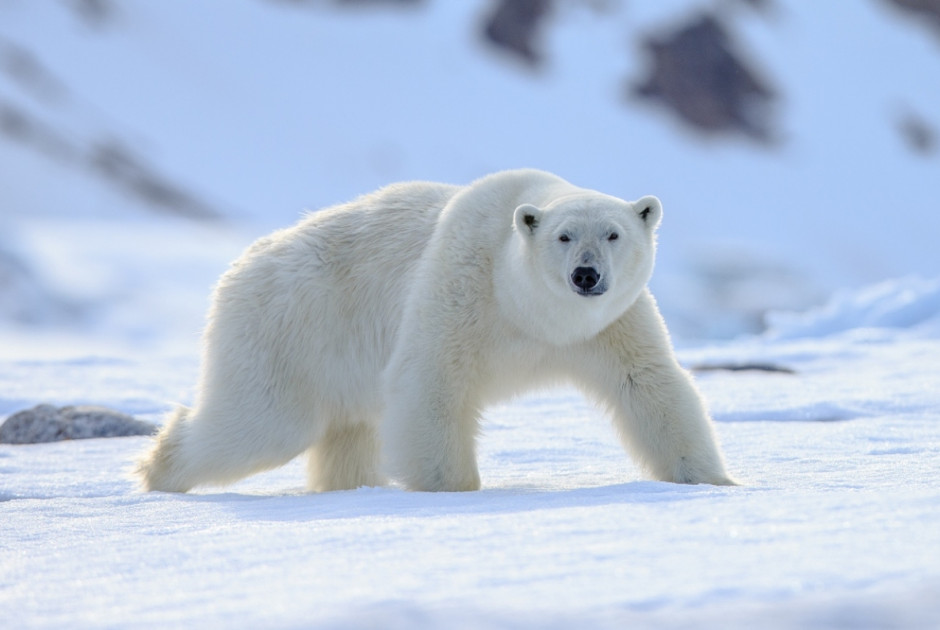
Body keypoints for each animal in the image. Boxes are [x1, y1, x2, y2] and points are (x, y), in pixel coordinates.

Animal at [136, 170, 736, 496]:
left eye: (613, 234)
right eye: (564, 236)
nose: (586, 276)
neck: (529, 312)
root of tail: (240, 266)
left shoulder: (610, 325)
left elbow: (649, 385)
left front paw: (714, 481)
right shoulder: (461, 287)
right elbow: (431, 383)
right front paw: (453, 491)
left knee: (346, 432)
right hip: (288, 328)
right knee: (260, 423)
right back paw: (157, 469)